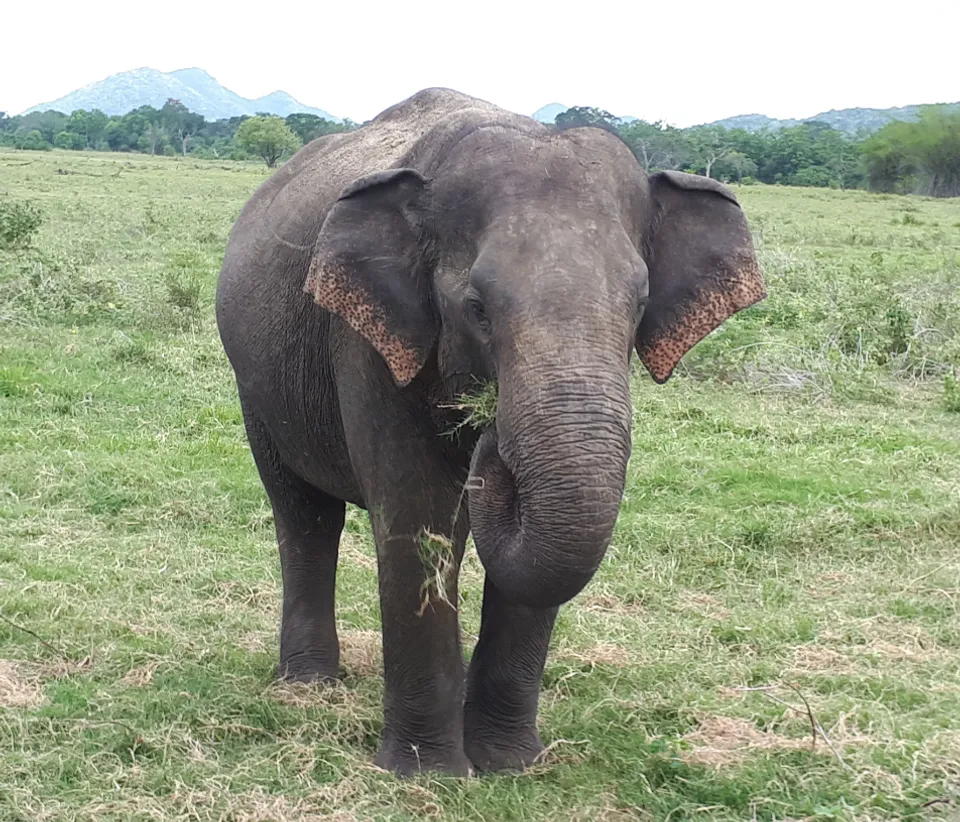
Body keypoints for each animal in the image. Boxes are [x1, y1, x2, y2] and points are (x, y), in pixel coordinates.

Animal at [215, 88, 765, 777]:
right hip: (255, 385)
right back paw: (308, 686)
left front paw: (509, 765)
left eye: (639, 304)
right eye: (476, 307)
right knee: (305, 515)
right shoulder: (367, 340)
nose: (488, 437)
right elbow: (418, 517)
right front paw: (428, 774)